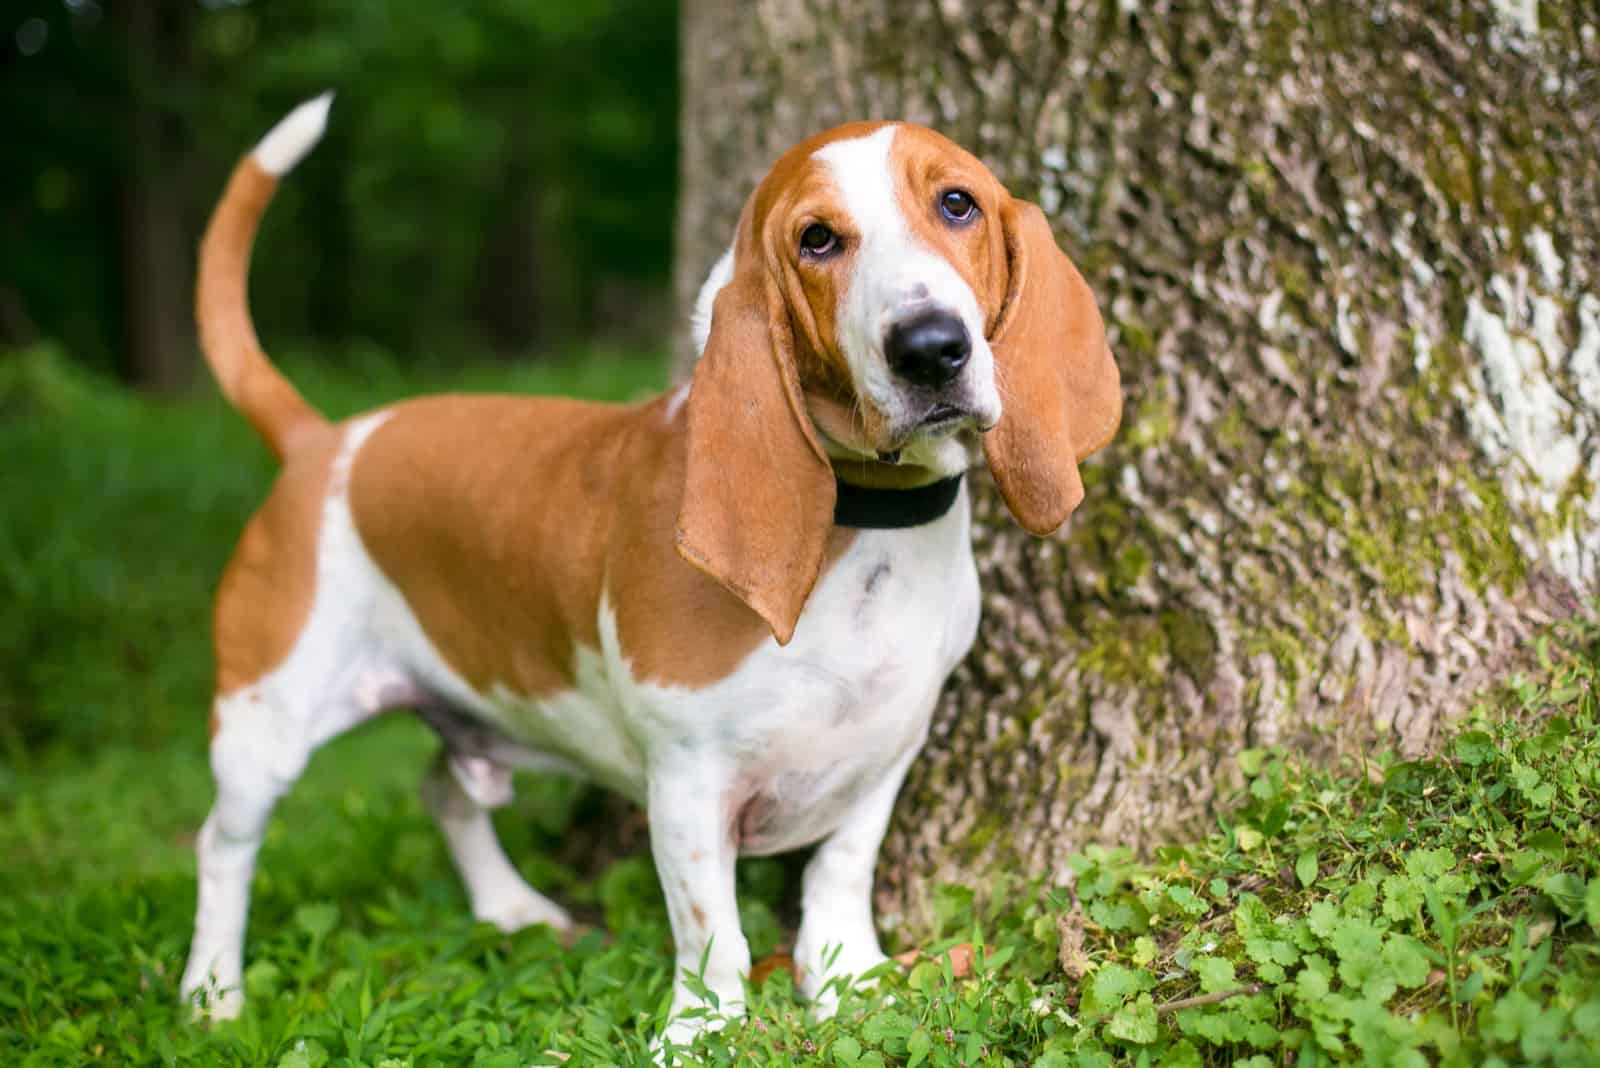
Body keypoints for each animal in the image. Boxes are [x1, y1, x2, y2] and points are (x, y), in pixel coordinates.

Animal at [175, 95, 1120, 1048]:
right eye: (817, 240)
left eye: (957, 204)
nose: (929, 348)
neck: (867, 523)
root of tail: (320, 440)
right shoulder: (689, 782)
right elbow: (713, 935)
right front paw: (702, 1034)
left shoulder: (885, 753)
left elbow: (839, 878)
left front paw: (852, 979)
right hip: (265, 723)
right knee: (222, 846)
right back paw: (212, 993)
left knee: (444, 789)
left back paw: (512, 908)